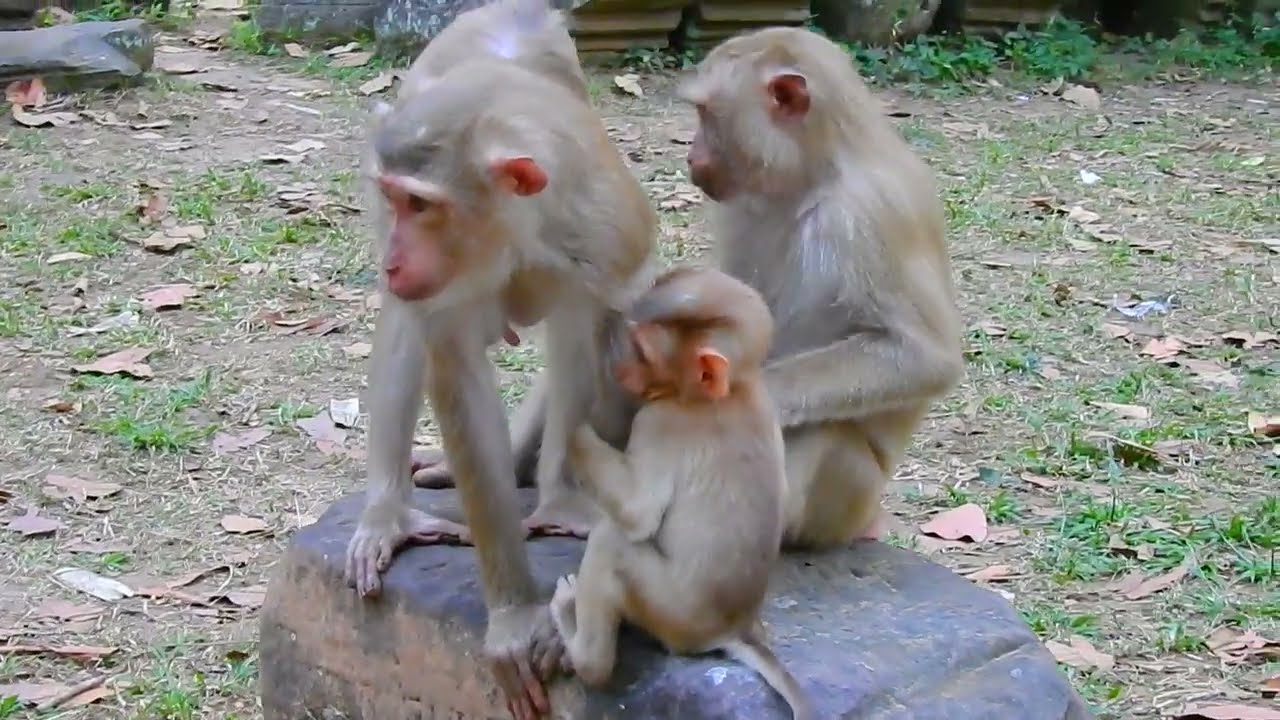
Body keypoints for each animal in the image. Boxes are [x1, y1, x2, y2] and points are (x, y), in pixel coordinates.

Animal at [343, 6, 657, 719]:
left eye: (423, 205)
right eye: (396, 199)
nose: (394, 258)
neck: (513, 234)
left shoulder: (604, 237)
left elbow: (588, 339)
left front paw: (565, 501)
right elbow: (454, 373)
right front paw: (514, 615)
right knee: (404, 328)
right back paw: (390, 512)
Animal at [413, 25, 966, 551]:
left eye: (705, 114)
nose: (693, 155)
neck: (816, 173)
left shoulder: (872, 215)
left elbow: (921, 356)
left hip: (841, 500)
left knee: (819, 432)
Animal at [548, 266, 814, 720]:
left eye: (643, 351)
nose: (622, 371)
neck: (731, 390)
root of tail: (733, 627)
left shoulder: (659, 422)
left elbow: (638, 513)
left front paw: (576, 425)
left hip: (669, 609)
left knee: (612, 543)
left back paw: (581, 644)